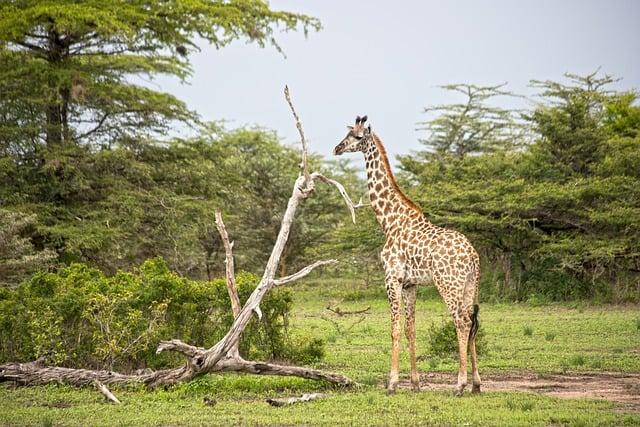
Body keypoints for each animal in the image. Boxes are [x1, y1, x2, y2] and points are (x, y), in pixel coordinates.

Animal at [336, 115, 480, 396]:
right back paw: (477, 384)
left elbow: (394, 329)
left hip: (448, 284)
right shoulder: (411, 283)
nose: (337, 148)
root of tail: (472, 256)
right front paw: (414, 383)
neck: (388, 221)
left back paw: (459, 385)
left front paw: (391, 384)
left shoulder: (391, 278)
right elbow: (411, 329)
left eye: (357, 137)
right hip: (470, 285)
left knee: (461, 321)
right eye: (347, 134)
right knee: (472, 321)